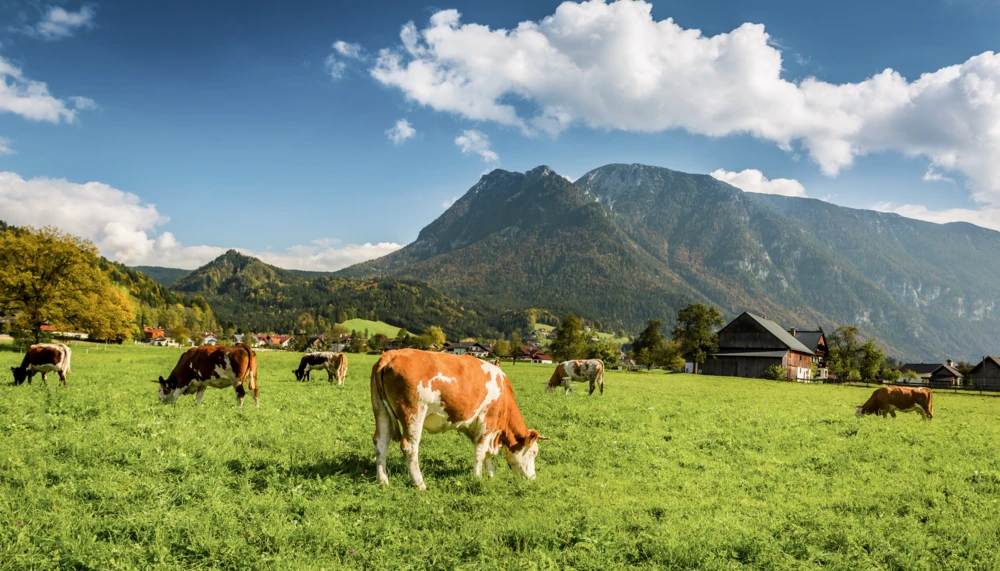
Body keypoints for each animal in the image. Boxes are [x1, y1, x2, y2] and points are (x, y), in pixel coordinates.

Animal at [372, 348, 548, 492]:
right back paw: (419, 483)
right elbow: (480, 452)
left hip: (380, 411)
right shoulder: (487, 421)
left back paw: (383, 481)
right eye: (533, 452)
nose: (532, 479)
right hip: (414, 413)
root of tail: (391, 354)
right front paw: (477, 478)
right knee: (410, 447)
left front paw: (491, 475)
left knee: (381, 443)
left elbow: (488, 454)